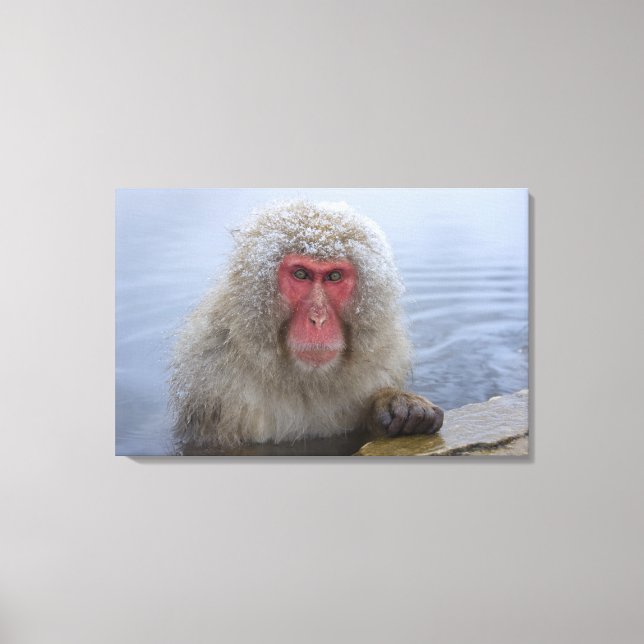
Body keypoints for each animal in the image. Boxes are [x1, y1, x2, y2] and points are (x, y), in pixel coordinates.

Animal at [170, 200, 443, 453]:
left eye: (334, 276)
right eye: (301, 274)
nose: (318, 319)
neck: (305, 380)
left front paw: (397, 405)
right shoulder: (212, 382)